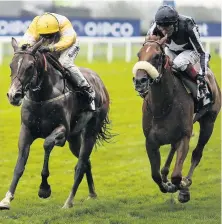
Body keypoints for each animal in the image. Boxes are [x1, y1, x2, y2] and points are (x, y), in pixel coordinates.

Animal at [0, 37, 111, 209]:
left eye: (30, 66)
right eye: (11, 65)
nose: (14, 95)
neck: (43, 96)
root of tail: (100, 83)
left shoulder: (62, 131)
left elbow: (47, 144)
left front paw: (44, 188)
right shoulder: (26, 131)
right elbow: (19, 165)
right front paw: (7, 199)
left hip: (90, 132)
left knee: (81, 164)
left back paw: (68, 202)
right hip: (74, 139)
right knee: (86, 162)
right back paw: (92, 194)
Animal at [132, 34, 220, 203]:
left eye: (157, 56)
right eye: (139, 54)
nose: (139, 81)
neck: (163, 106)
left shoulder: (185, 136)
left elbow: (177, 176)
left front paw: (183, 188)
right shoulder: (150, 141)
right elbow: (155, 175)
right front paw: (166, 184)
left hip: (209, 122)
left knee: (197, 153)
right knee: (172, 149)